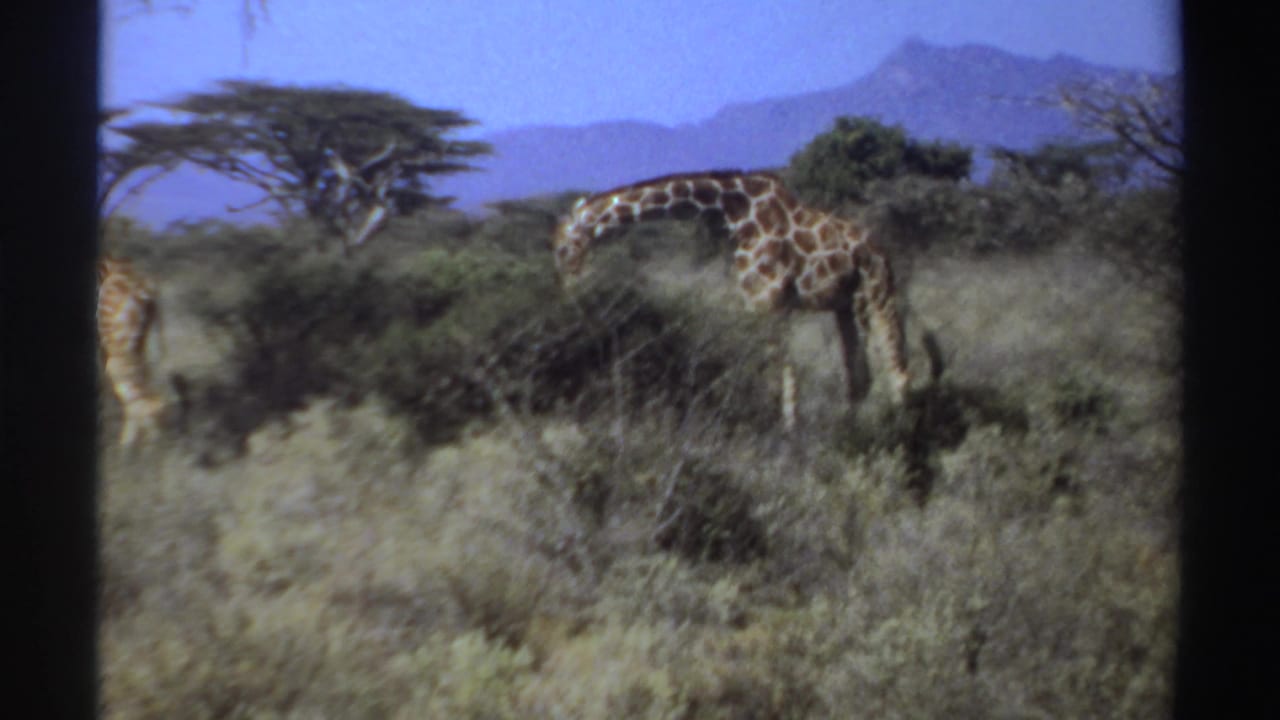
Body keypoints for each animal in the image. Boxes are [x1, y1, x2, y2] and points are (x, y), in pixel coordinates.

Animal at [550, 170, 911, 430]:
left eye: (562, 247)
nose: (567, 287)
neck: (733, 213)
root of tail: (882, 252)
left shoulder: (770, 300)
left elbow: (781, 370)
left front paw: (787, 431)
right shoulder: (753, 300)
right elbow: (775, 367)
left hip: (873, 294)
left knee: (893, 361)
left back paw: (900, 428)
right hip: (843, 305)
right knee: (860, 375)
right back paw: (852, 428)